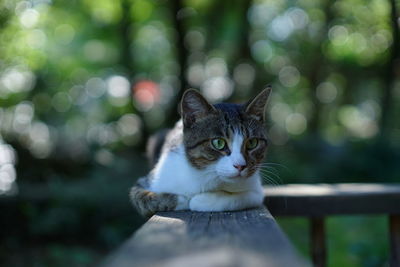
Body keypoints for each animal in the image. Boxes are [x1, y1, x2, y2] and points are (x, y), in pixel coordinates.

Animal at [131, 88, 272, 218]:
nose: (240, 166)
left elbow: (238, 198)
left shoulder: (256, 190)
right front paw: (181, 199)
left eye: (252, 143)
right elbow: (141, 197)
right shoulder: (149, 180)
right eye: (218, 143)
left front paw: (199, 200)